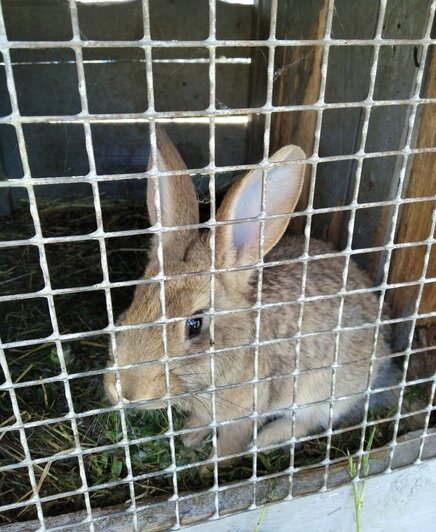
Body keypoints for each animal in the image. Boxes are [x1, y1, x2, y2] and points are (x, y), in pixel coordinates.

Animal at [104, 125, 396, 458]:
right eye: (135, 300)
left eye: (195, 324)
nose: (124, 390)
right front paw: (190, 436)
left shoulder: (243, 414)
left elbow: (229, 445)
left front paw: (210, 463)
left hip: (326, 393)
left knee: (308, 421)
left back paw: (266, 440)